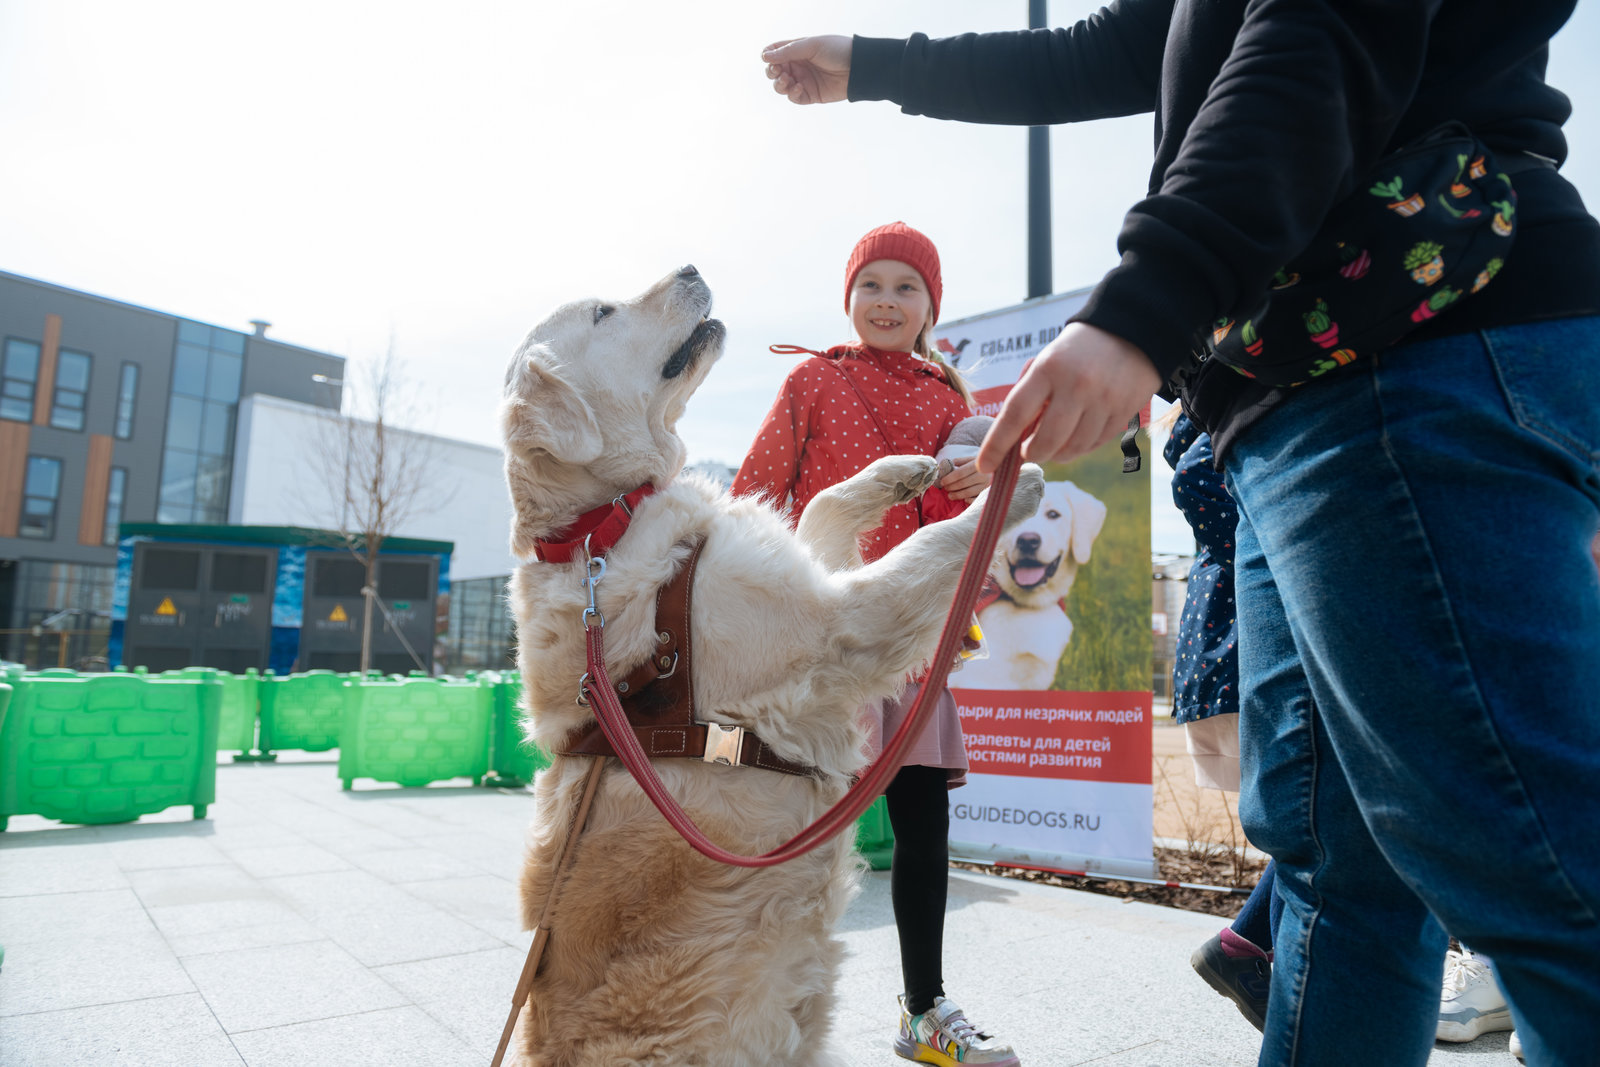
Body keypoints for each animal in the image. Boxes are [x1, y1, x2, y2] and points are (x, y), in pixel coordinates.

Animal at [502, 265, 1049, 1067]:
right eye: (604, 312)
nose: (692, 268)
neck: (607, 523)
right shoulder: (839, 625)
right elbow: (934, 547)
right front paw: (1014, 482)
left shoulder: (813, 580)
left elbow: (824, 505)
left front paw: (905, 471)